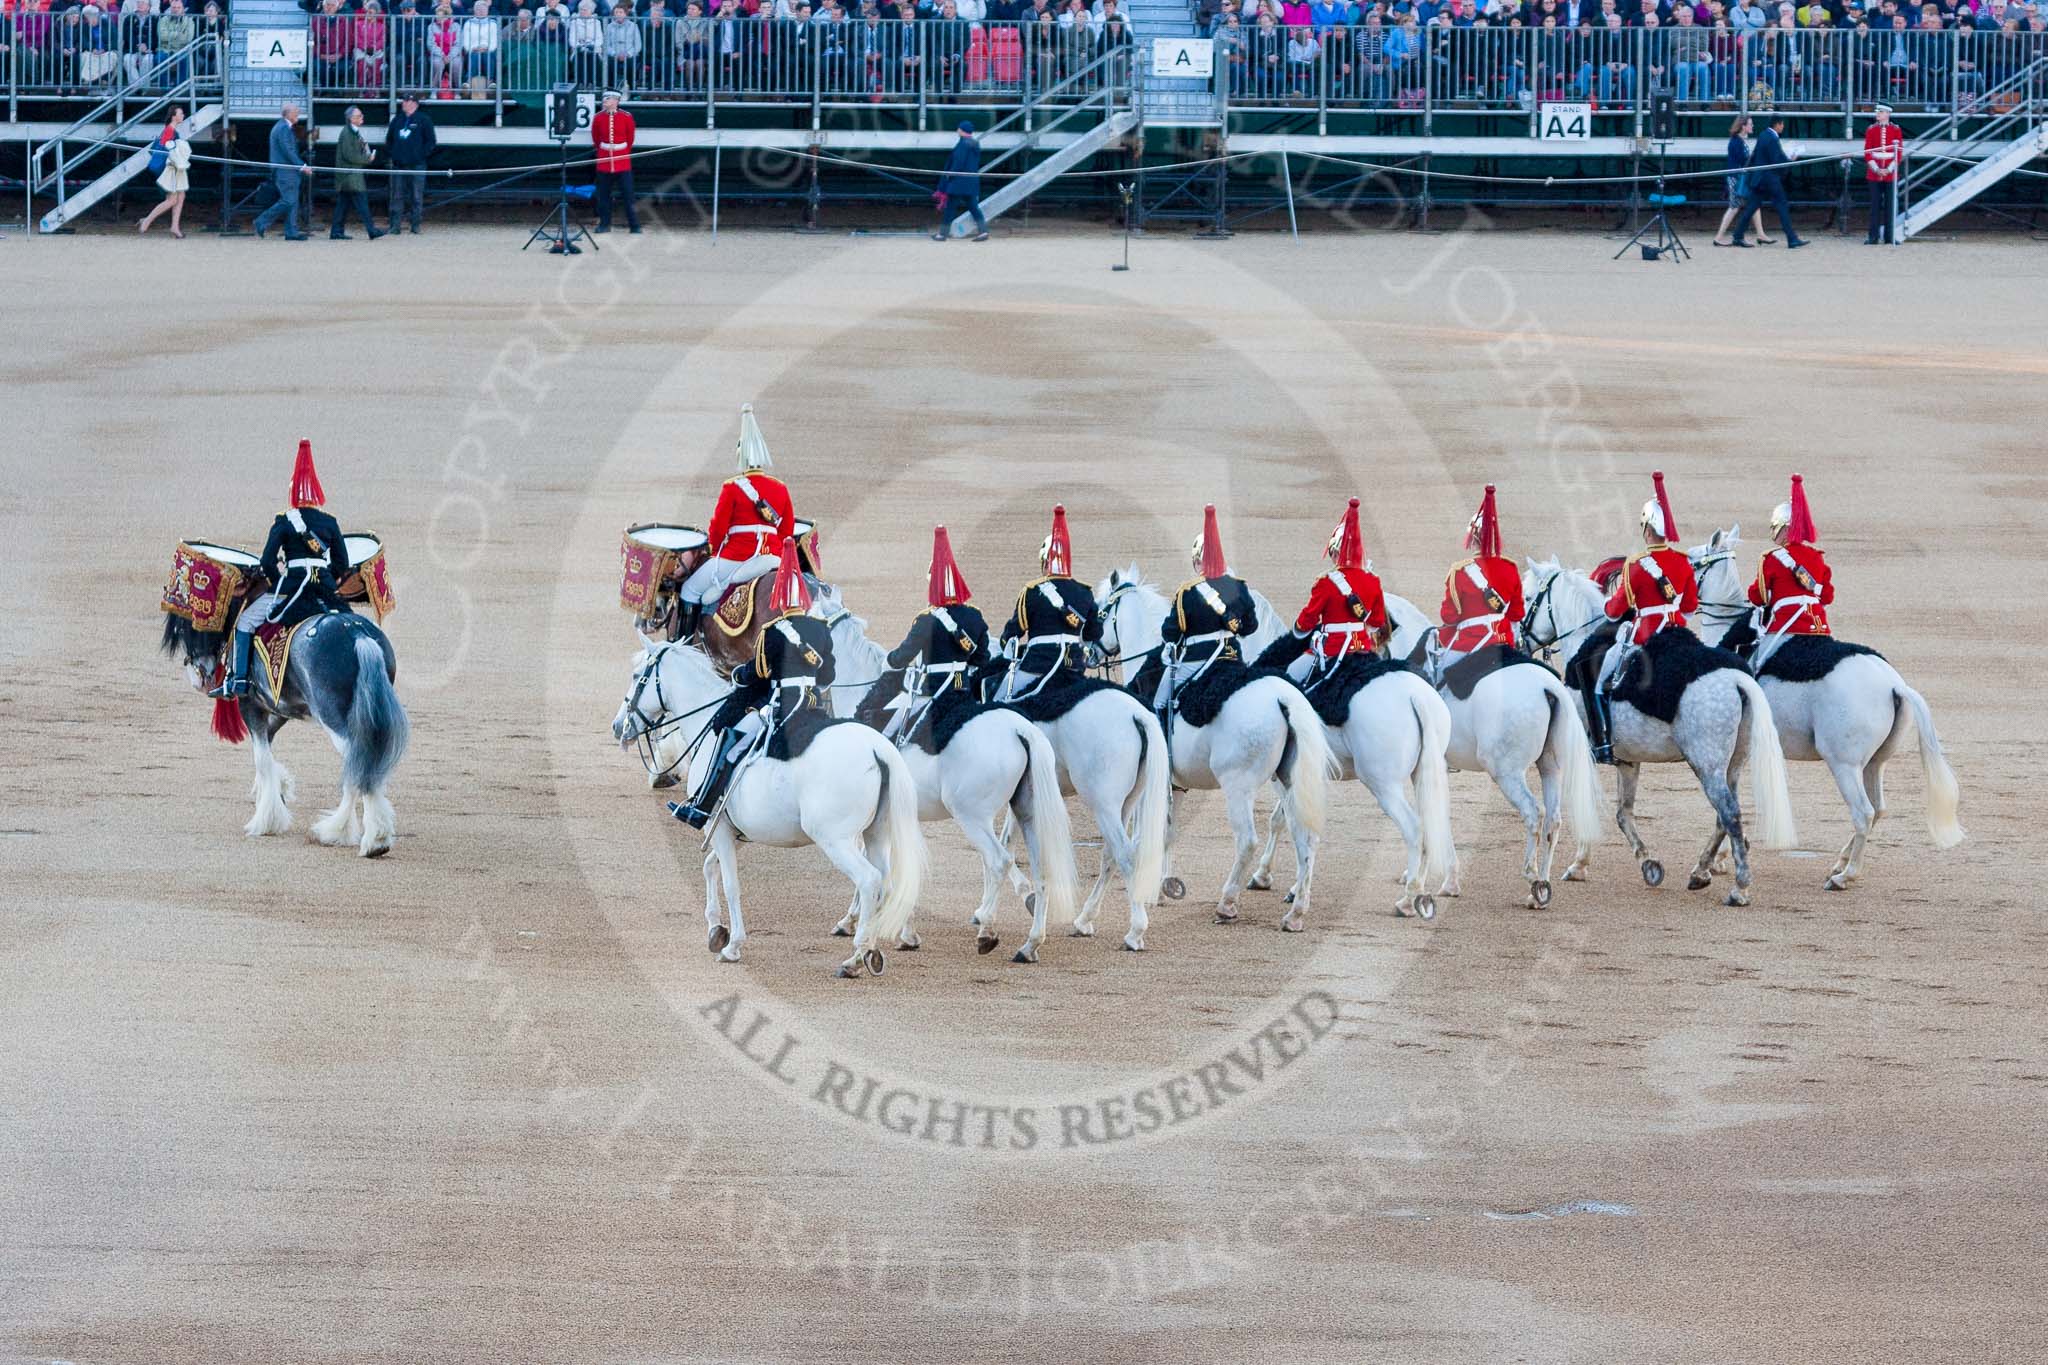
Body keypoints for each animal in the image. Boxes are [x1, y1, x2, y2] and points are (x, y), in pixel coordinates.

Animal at [610, 642, 925, 978]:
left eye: (636, 675)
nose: (618, 726)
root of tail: (877, 748)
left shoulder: (718, 829)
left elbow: (731, 883)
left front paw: (732, 945)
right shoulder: (732, 830)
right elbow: (710, 867)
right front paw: (715, 929)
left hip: (835, 840)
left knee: (869, 881)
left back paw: (855, 957)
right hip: (876, 833)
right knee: (886, 883)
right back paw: (873, 950)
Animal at [1097, 564, 1335, 929]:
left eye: (1100, 610)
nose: (1089, 651)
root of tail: (1283, 699)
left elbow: (1143, 834)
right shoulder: (1174, 784)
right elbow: (1168, 831)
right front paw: (1165, 886)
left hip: (1238, 785)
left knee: (1248, 840)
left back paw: (1228, 902)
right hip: (1289, 780)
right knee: (1303, 835)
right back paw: (1295, 911)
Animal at [1523, 556, 1794, 908]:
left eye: (1528, 598)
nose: (1520, 638)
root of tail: (1735, 677)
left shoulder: (1580, 755)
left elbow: (1587, 806)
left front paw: (1580, 864)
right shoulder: (1628, 761)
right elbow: (1623, 813)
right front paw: (1648, 864)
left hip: (1707, 765)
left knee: (1730, 813)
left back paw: (1739, 887)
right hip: (1731, 765)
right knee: (1723, 814)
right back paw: (1701, 871)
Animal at [1679, 527, 1966, 896]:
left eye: (1690, 561)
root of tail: (1893, 685)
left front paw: (1713, 862)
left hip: (1843, 765)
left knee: (1863, 812)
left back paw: (1845, 876)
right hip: (1874, 764)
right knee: (1879, 809)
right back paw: (1840, 862)